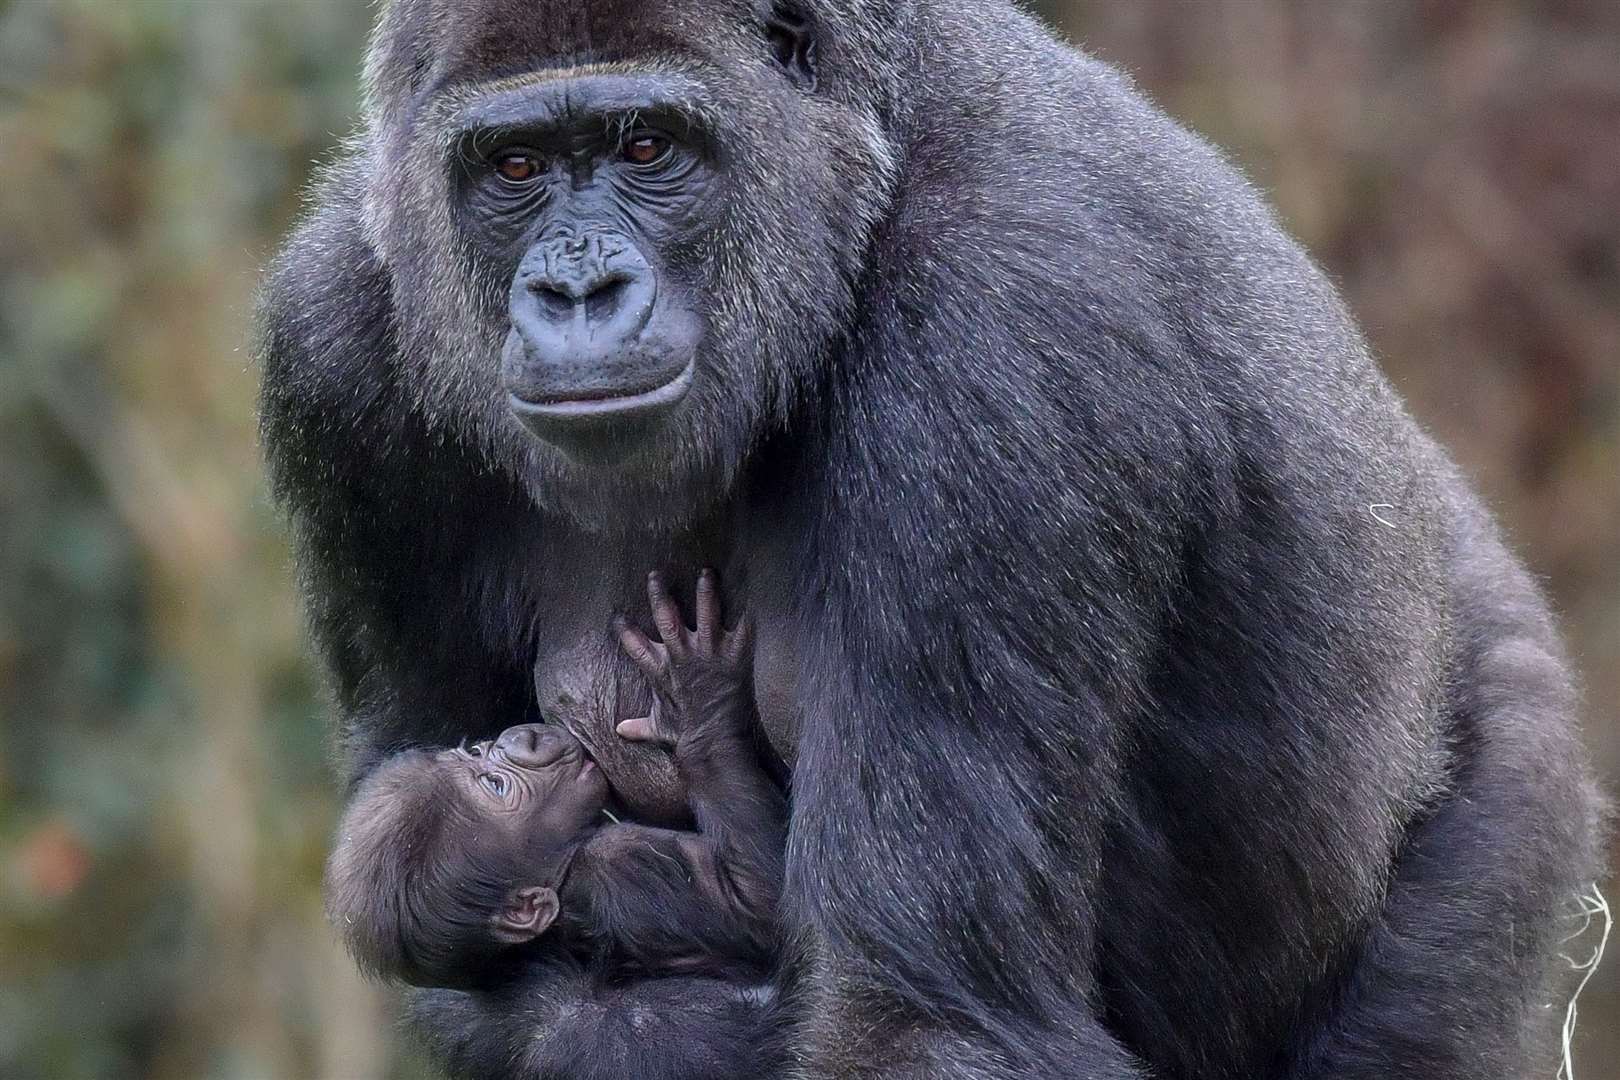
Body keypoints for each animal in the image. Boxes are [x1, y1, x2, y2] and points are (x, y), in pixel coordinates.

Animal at [320, 569, 784, 1075]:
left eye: (477, 753)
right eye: (497, 787)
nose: (520, 738)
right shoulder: (619, 869)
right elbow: (758, 902)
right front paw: (697, 699)